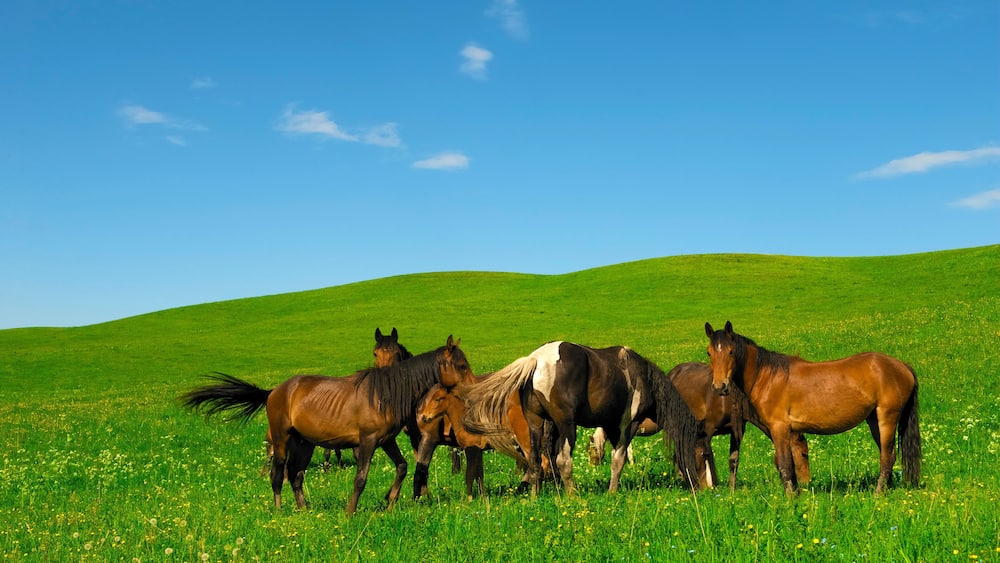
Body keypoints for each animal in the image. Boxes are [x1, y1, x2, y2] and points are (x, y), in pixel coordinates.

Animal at [181, 335, 470, 515]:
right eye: (461, 365)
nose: (472, 388)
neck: (383, 394)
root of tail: (274, 391)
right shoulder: (366, 442)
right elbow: (360, 478)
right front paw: (350, 512)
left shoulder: (386, 440)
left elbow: (402, 467)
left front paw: (390, 504)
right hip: (281, 440)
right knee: (277, 474)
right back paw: (279, 511)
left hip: (304, 444)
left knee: (295, 476)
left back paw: (304, 509)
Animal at [462, 341, 703, 495]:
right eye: (702, 454)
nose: (703, 487)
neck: (642, 377)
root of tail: (535, 360)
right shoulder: (627, 425)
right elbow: (619, 460)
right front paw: (612, 493)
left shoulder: (609, 426)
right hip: (567, 425)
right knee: (562, 460)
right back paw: (573, 495)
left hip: (535, 424)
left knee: (535, 460)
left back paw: (533, 497)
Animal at [705, 321, 921, 494]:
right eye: (709, 352)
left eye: (730, 351)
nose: (719, 386)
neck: (768, 377)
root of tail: (903, 366)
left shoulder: (779, 428)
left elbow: (785, 464)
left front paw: (791, 499)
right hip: (874, 420)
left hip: (887, 419)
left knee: (887, 457)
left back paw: (878, 493)